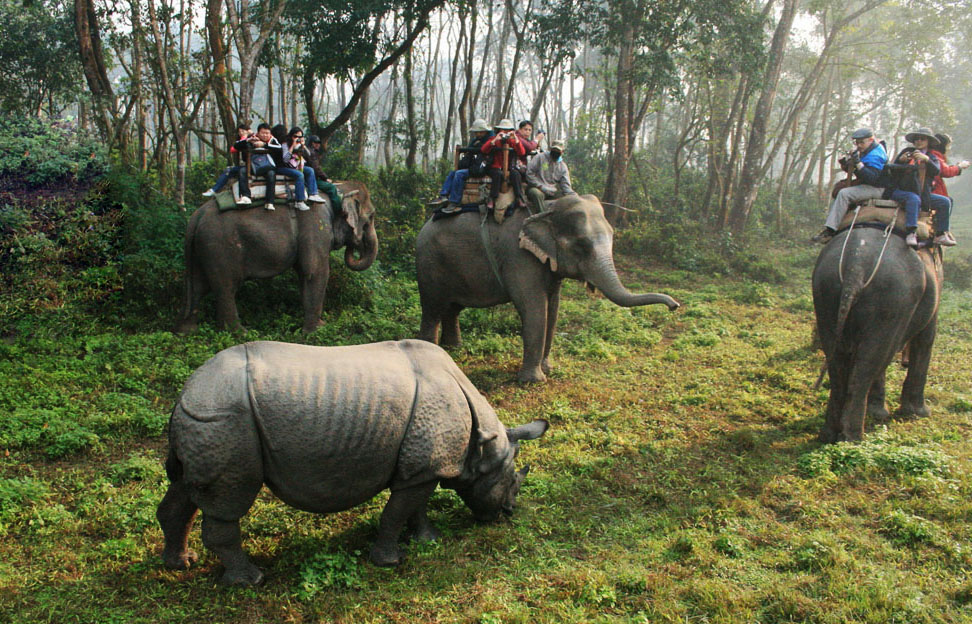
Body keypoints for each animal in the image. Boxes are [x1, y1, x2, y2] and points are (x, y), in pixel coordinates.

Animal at [157, 336, 552, 584]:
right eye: (511, 482)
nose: (508, 513)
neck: (482, 443)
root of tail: (184, 394)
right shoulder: (424, 464)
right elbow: (396, 512)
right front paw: (390, 561)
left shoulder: (423, 466)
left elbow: (416, 506)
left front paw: (428, 540)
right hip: (224, 420)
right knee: (229, 501)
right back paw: (250, 581)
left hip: (205, 421)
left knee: (185, 490)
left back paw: (181, 563)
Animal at [174, 180, 376, 334]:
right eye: (372, 217)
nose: (356, 243)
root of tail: (196, 217)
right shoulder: (316, 225)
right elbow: (316, 272)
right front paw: (316, 331)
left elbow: (304, 274)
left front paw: (316, 327)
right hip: (219, 247)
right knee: (226, 287)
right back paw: (241, 333)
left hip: (201, 249)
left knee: (197, 286)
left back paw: (186, 332)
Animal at [414, 193, 680, 382]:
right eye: (582, 245)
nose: (675, 306)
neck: (547, 209)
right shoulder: (519, 256)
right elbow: (534, 308)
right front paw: (533, 381)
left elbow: (553, 308)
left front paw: (548, 369)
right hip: (429, 264)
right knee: (433, 308)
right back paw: (430, 352)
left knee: (452, 308)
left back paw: (454, 349)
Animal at [812, 227, 940, 442]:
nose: (904, 363)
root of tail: (856, 264)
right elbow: (925, 339)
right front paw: (920, 413)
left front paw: (876, 411)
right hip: (892, 301)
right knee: (872, 360)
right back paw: (853, 438)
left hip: (825, 291)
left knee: (838, 360)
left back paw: (829, 434)